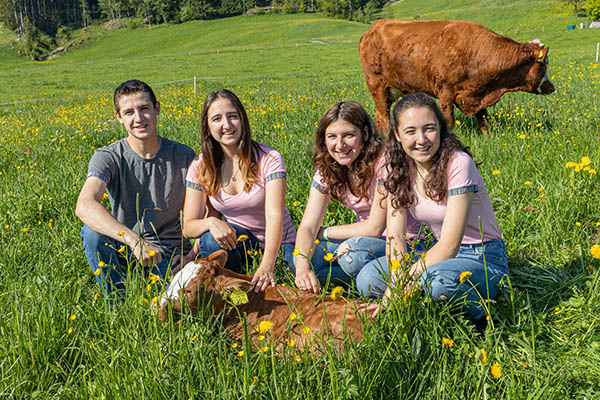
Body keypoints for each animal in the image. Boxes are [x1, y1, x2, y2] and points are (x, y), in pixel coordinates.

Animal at [358, 19, 556, 136]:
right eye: (544, 64)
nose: (551, 87)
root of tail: (374, 27)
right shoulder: (445, 92)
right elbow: (449, 120)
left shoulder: (477, 92)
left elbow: (483, 118)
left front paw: (487, 137)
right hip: (378, 87)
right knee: (382, 116)